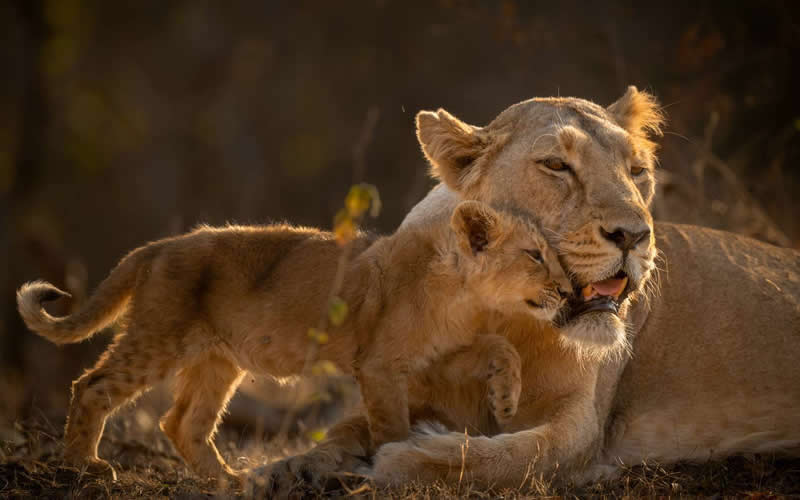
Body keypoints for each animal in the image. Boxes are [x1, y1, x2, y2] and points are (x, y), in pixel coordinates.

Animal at [16, 200, 571, 483]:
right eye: (534, 255)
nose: (568, 289)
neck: (463, 295)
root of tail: (155, 247)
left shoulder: (439, 356)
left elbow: (502, 348)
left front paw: (506, 399)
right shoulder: (380, 366)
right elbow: (391, 424)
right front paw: (392, 462)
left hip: (219, 360)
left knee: (182, 423)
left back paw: (230, 483)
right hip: (159, 337)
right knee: (93, 386)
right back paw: (84, 466)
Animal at [260, 86, 800, 494]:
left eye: (637, 170)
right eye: (557, 166)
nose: (634, 236)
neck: (495, 311)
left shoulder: (583, 428)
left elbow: (510, 456)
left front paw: (405, 456)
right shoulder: (396, 377)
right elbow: (343, 428)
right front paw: (287, 468)